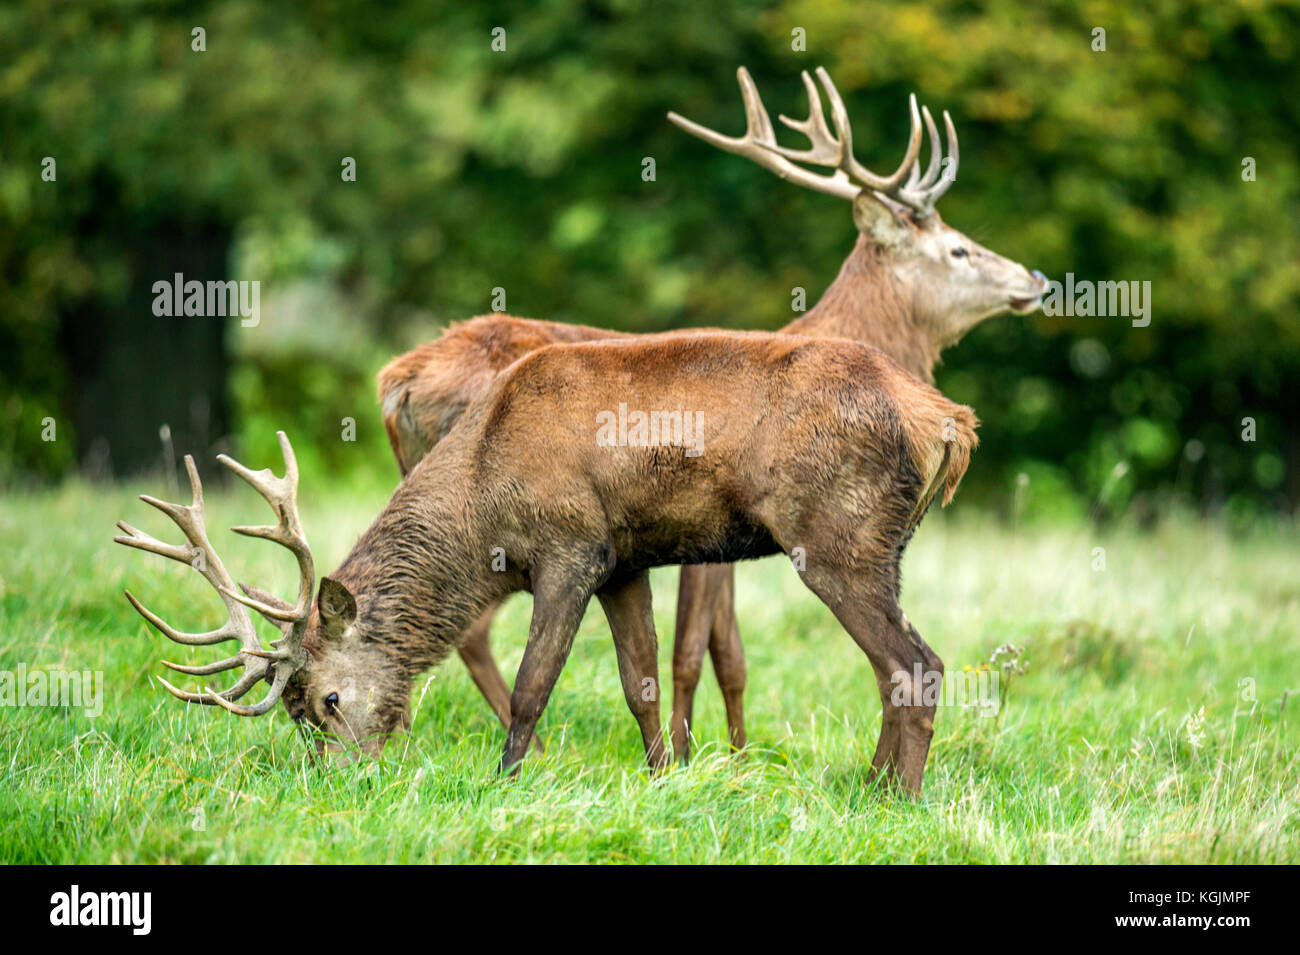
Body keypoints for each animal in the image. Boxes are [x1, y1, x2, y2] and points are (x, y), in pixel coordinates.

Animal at [116, 331, 979, 795]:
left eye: (326, 698)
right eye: (293, 711)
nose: (340, 778)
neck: (483, 491)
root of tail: (945, 419)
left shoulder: (573, 547)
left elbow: (535, 685)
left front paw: (503, 781)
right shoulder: (627, 560)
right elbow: (640, 681)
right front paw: (663, 780)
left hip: (837, 534)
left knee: (918, 661)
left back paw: (896, 799)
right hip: (877, 545)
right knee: (895, 666)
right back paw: (871, 782)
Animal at [376, 67, 1048, 760]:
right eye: (958, 250)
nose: (1036, 279)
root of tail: (396, 382)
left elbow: (728, 653)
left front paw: (732, 751)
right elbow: (694, 651)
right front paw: (698, 753)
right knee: (469, 624)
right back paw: (528, 749)